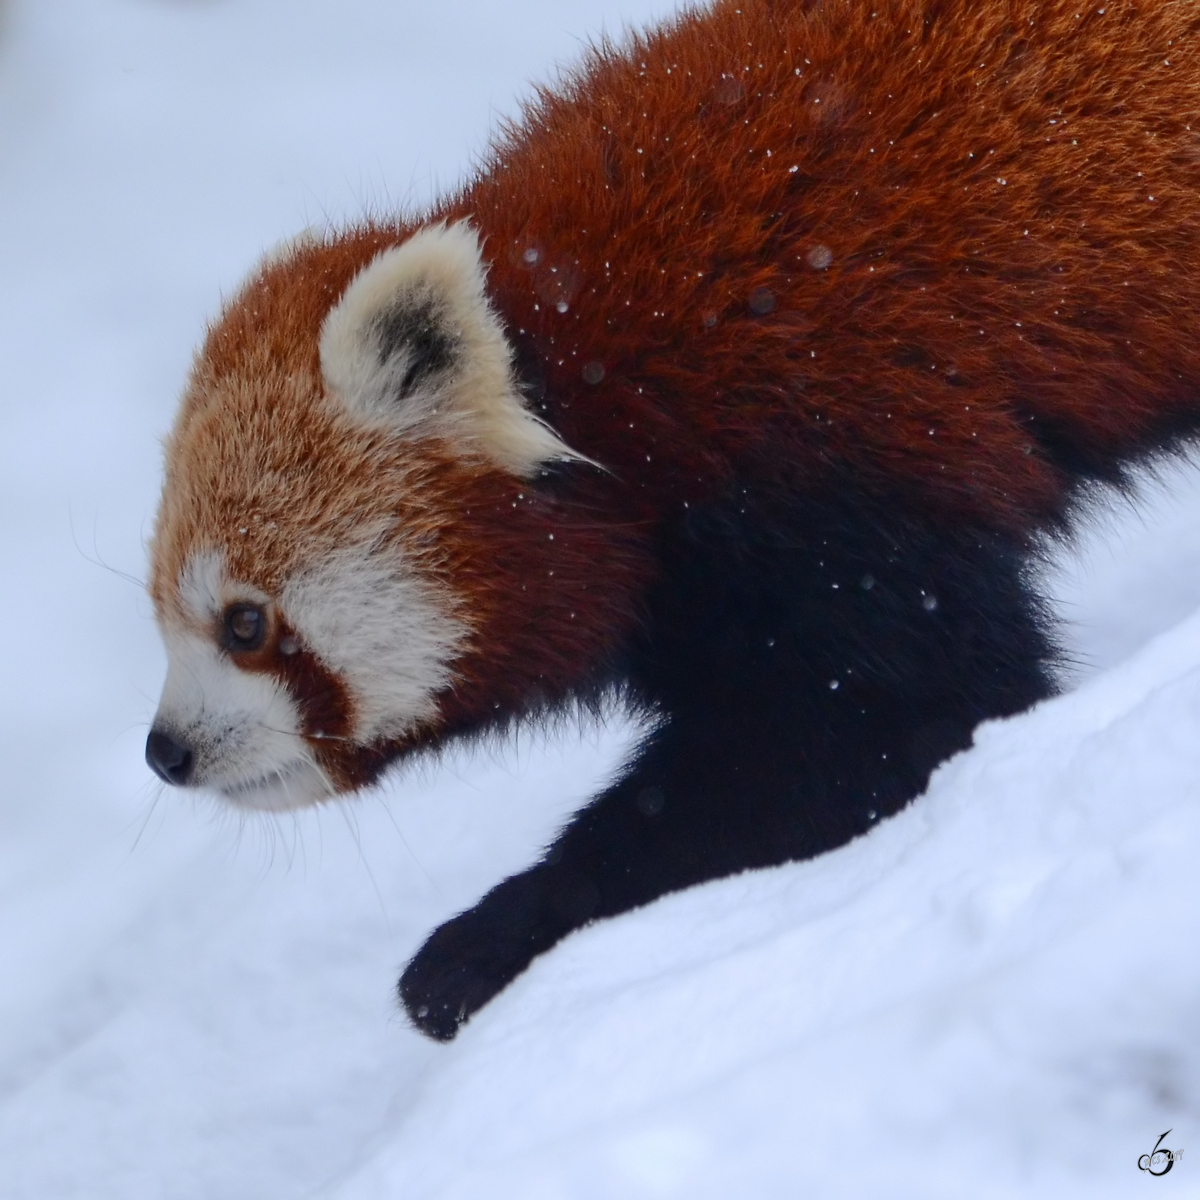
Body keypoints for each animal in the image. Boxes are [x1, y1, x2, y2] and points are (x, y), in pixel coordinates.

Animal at [145, 0, 1200, 1036]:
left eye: (245, 623)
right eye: (163, 616)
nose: (165, 753)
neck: (598, 375)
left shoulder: (830, 464)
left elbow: (899, 720)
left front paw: (495, 935)